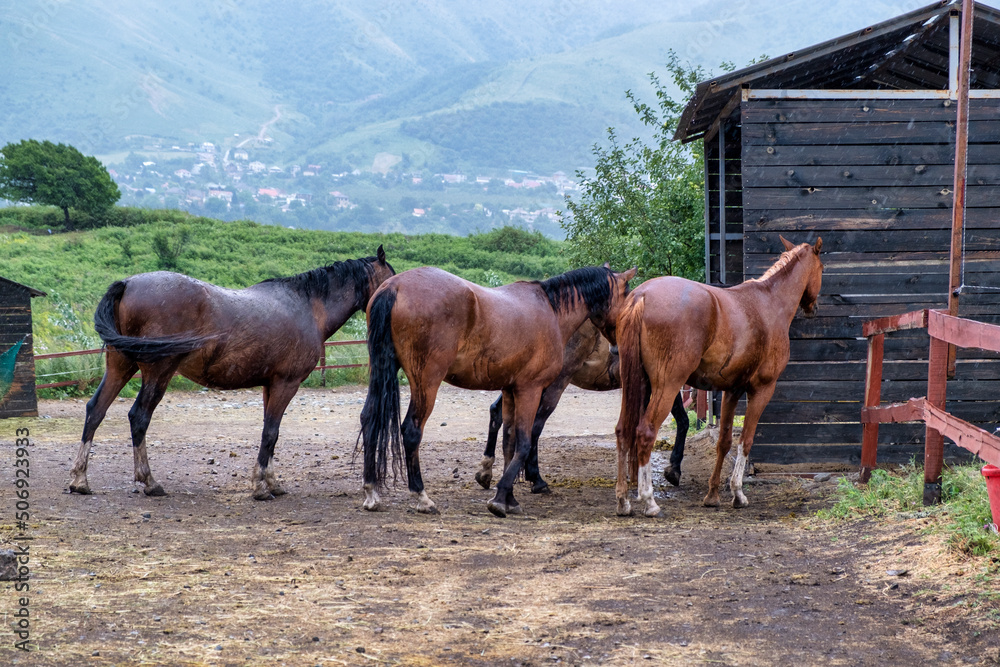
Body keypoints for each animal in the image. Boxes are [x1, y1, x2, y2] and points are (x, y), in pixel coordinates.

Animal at [69, 246, 395, 500]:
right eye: (390, 277)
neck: (308, 307)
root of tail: (127, 284)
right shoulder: (285, 384)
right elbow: (270, 432)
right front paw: (260, 488)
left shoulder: (269, 385)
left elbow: (271, 433)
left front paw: (272, 482)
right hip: (157, 374)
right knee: (138, 417)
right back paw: (149, 482)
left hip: (121, 367)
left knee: (95, 410)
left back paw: (80, 480)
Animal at [358, 264, 636, 518]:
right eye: (628, 294)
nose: (617, 350)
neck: (551, 311)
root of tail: (394, 286)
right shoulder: (530, 390)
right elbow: (524, 442)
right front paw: (501, 497)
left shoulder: (511, 390)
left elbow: (509, 442)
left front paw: (509, 497)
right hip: (426, 383)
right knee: (411, 430)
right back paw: (421, 496)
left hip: (382, 371)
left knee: (369, 419)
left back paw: (371, 492)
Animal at [473, 319, 689, 495]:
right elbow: (682, 419)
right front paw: (673, 469)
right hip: (552, 383)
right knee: (534, 427)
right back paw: (537, 480)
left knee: (498, 413)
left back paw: (486, 471)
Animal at [614, 237, 823, 517]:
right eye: (822, 268)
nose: (813, 307)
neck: (769, 303)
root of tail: (642, 295)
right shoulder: (761, 390)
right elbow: (745, 440)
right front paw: (738, 493)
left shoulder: (731, 391)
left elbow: (724, 441)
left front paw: (712, 494)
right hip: (666, 387)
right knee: (645, 432)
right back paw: (649, 500)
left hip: (637, 384)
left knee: (623, 431)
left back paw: (623, 500)